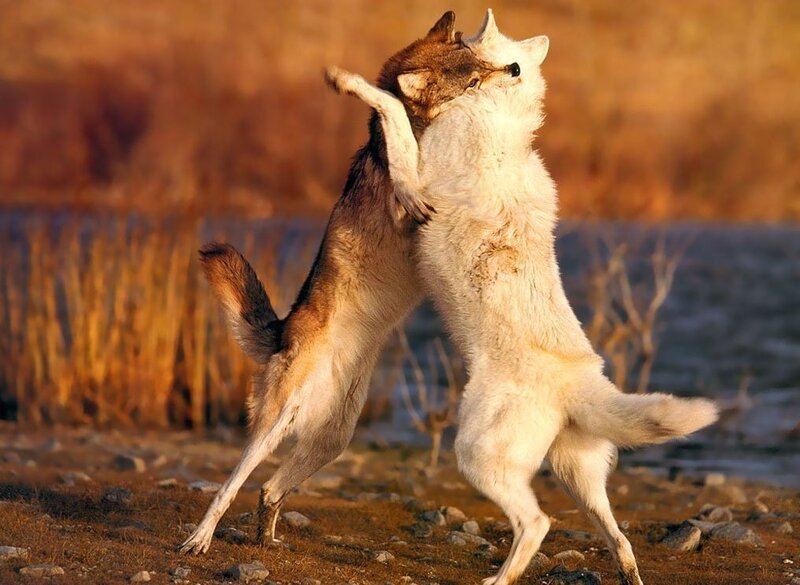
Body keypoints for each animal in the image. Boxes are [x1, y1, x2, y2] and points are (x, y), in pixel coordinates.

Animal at [179, 12, 514, 555]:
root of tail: (282, 331)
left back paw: (266, 541)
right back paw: (200, 538)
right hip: (275, 427)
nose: (514, 68)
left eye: (480, 63)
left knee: (269, 490)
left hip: (331, 441)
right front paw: (349, 84)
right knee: (232, 484)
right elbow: (390, 113)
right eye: (473, 81)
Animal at [326, 10, 718, 585]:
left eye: (509, 64)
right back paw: (623, 572)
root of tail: (578, 384)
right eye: (490, 57)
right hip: (577, 476)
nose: (512, 70)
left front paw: (351, 83)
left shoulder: (417, 167)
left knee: (538, 523)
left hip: (477, 457)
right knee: (618, 537)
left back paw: (500, 577)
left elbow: (392, 108)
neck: (494, 120)